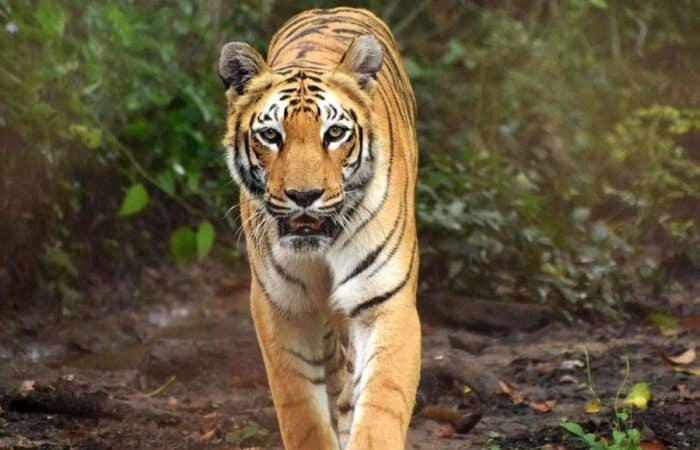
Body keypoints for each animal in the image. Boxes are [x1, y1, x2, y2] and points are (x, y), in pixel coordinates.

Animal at [218, 7, 419, 450]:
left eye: (335, 133)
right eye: (271, 135)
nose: (304, 195)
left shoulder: (385, 302)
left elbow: (381, 404)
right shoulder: (281, 307)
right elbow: (301, 412)